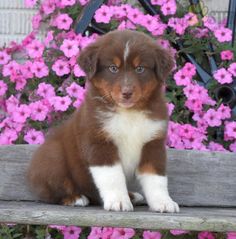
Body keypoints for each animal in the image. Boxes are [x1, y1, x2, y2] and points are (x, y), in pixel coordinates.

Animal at [27, 29, 179, 213]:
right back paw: (76, 198)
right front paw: (119, 201)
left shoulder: (153, 143)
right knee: (53, 191)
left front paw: (163, 202)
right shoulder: (99, 142)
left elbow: (156, 178)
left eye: (140, 69)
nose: (127, 93)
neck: (128, 113)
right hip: (53, 158)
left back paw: (133, 196)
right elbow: (112, 177)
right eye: (113, 68)